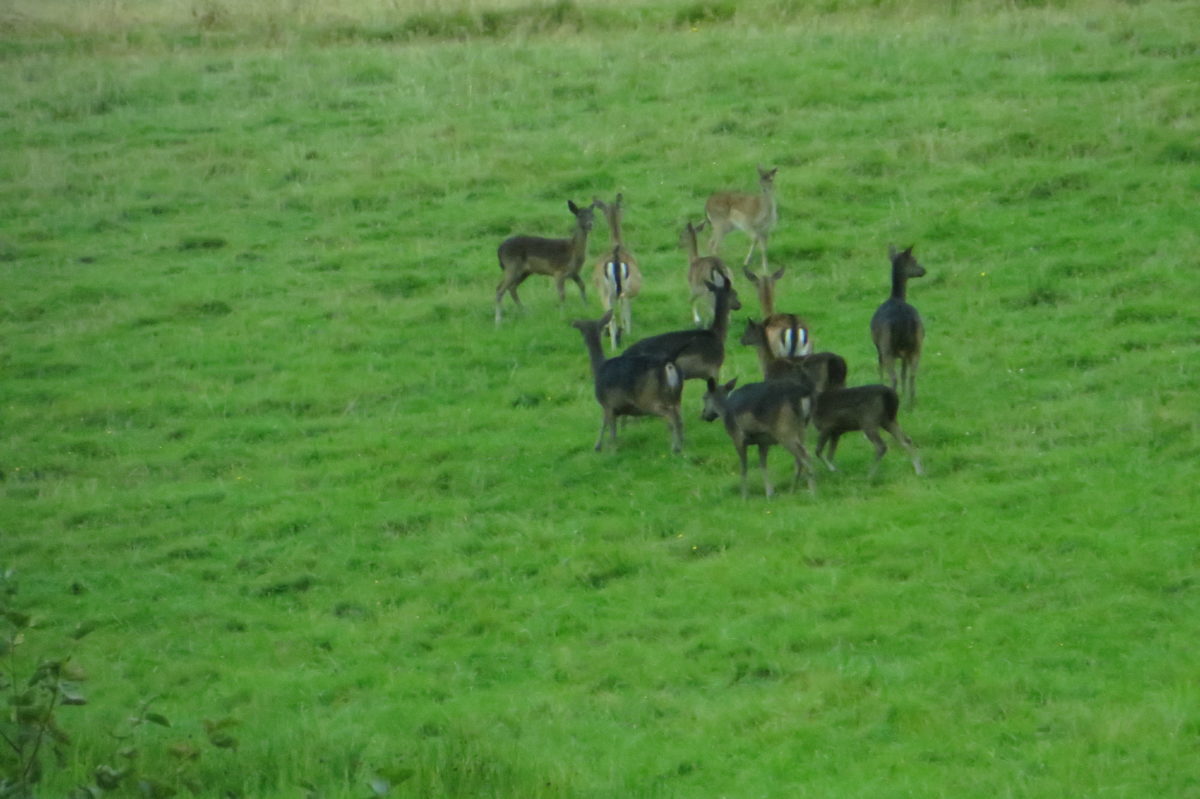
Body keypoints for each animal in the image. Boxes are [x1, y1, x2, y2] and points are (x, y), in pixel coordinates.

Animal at [571, 307, 686, 451]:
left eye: (582, 331)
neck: (599, 368)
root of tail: (669, 365)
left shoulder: (607, 403)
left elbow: (610, 428)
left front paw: (611, 448)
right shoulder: (610, 407)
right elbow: (604, 423)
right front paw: (598, 446)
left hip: (649, 398)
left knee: (671, 417)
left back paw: (675, 448)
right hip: (676, 397)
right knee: (679, 419)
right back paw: (682, 443)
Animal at [873, 242, 926, 405]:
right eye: (914, 260)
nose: (923, 270)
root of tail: (906, 322)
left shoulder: (878, 346)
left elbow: (881, 370)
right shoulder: (904, 354)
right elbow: (903, 373)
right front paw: (904, 395)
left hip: (887, 345)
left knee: (893, 376)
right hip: (916, 345)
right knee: (912, 375)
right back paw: (911, 403)